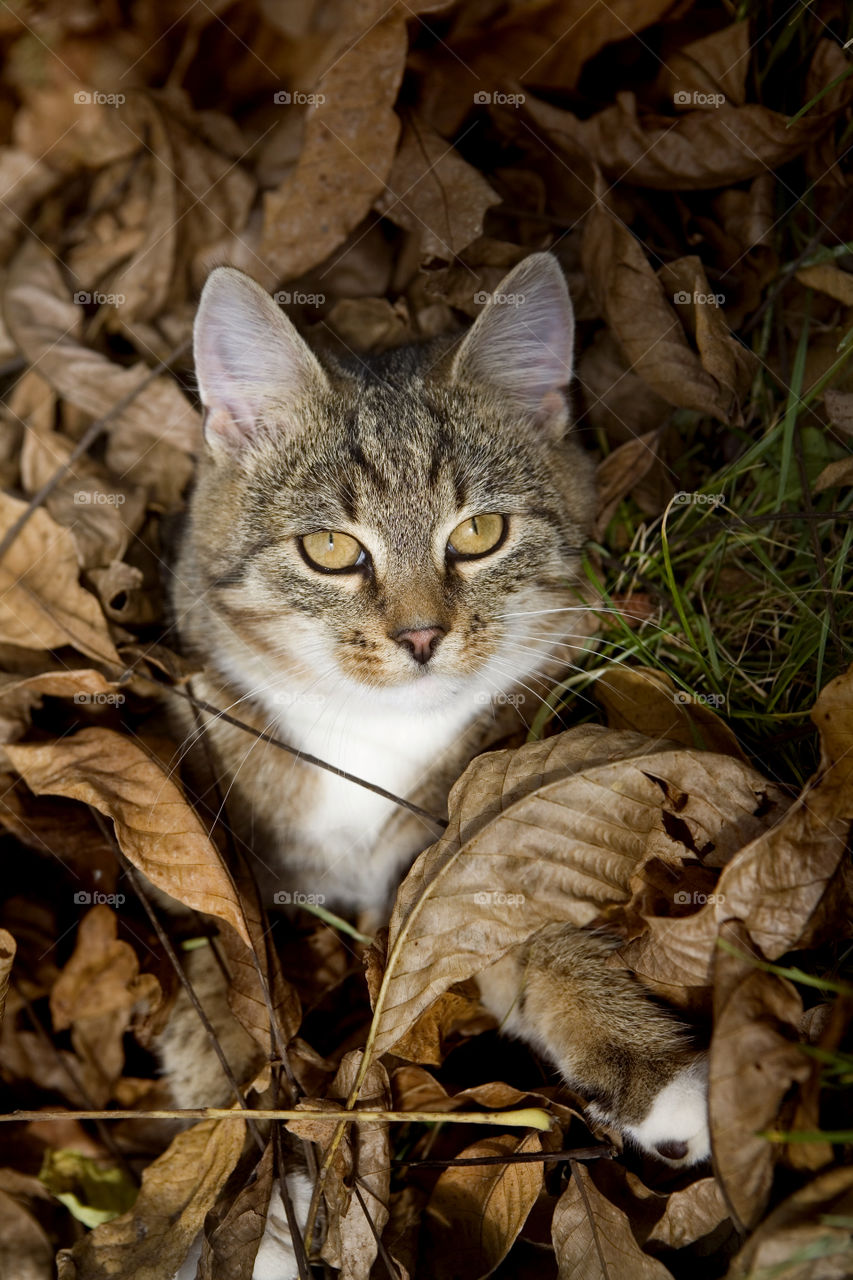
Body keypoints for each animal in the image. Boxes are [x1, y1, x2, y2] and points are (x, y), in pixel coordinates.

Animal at [157, 249, 701, 1269]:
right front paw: (261, 1206)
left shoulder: (456, 848)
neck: (370, 735)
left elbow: (523, 927)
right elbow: (232, 964)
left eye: (479, 534)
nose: (418, 636)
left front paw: (649, 1066)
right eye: (330, 548)